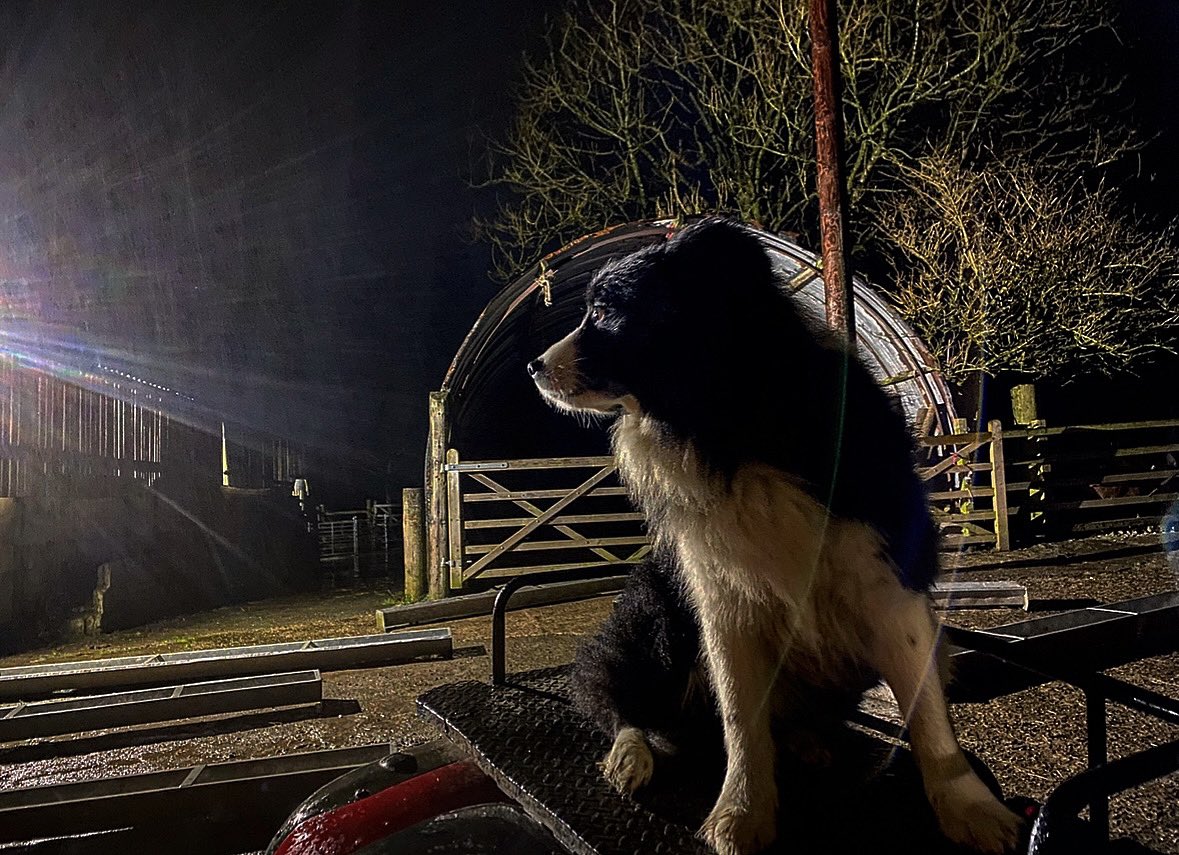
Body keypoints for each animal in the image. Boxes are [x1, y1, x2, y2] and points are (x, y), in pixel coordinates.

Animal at [530, 220, 1018, 853]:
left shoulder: (888, 579)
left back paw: (807, 740)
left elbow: (929, 713)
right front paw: (741, 812)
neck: (733, 423)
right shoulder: (721, 596)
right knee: (616, 700)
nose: (533, 367)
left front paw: (970, 807)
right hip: (657, 618)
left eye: (605, 311)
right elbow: (740, 717)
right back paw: (631, 755)